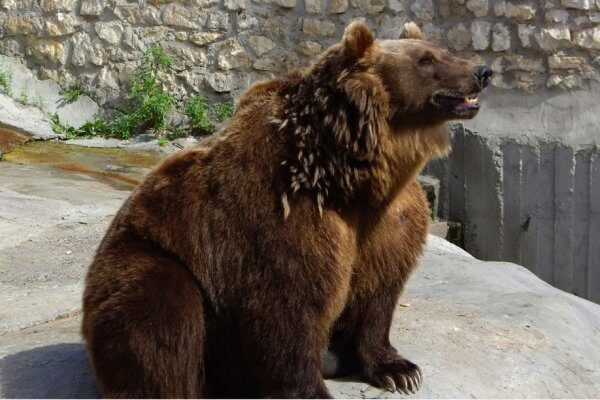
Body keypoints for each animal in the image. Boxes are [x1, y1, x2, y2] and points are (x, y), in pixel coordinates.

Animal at [82, 21, 490, 396]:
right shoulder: (282, 213)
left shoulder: (391, 219)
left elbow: (379, 290)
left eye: (440, 50)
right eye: (426, 60)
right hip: (149, 258)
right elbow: (286, 306)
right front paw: (313, 388)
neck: (348, 175)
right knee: (161, 312)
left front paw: (399, 370)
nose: (481, 72)